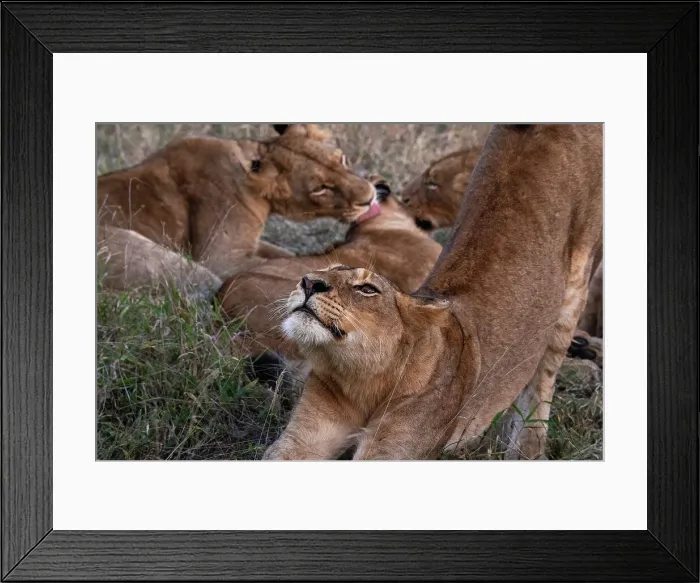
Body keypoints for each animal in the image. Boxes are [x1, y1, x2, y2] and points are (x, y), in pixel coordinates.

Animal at [97, 124, 377, 298]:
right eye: (321, 188)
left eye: (342, 160)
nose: (371, 197)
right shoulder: (222, 257)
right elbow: (279, 263)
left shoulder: (251, 244)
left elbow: (284, 254)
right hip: (188, 271)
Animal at [263, 124, 602, 460]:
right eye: (325, 270)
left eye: (367, 289)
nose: (309, 282)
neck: (361, 381)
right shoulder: (299, 441)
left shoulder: (392, 451)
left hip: (577, 281)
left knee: (543, 375)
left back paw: (526, 449)